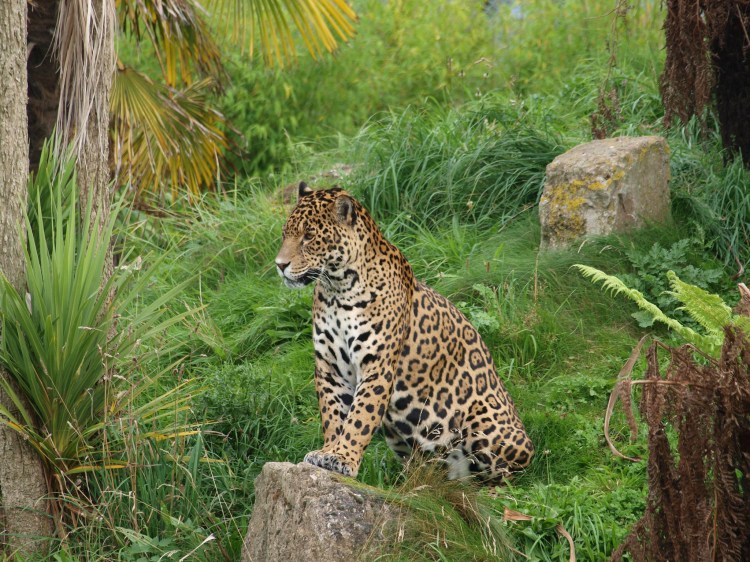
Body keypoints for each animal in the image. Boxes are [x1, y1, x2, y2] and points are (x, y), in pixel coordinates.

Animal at [275, 182, 534, 481]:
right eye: (285, 234)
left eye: (309, 236)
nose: (280, 265)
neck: (337, 289)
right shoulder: (330, 366)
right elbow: (333, 414)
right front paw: (328, 450)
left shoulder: (377, 365)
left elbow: (360, 417)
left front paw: (342, 457)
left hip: (483, 427)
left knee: (500, 473)